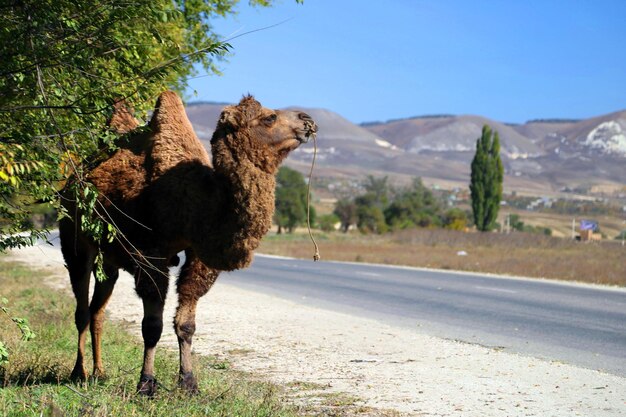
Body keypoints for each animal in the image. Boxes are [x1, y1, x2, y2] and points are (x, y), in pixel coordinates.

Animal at [59, 91, 316, 394]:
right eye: (269, 117)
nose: (307, 119)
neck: (198, 202)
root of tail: (71, 183)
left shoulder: (198, 256)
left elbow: (186, 324)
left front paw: (189, 383)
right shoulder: (152, 253)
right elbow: (152, 325)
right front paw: (146, 383)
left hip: (109, 260)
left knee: (98, 310)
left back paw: (100, 371)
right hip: (75, 241)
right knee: (82, 309)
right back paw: (80, 372)